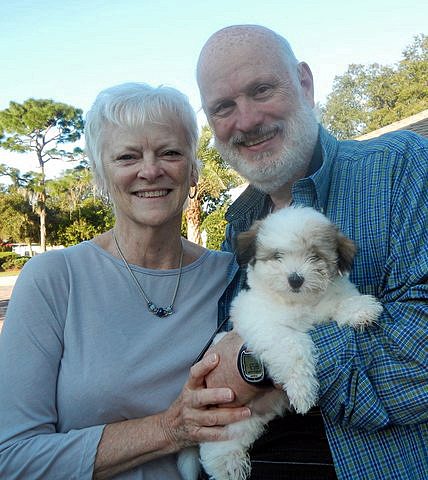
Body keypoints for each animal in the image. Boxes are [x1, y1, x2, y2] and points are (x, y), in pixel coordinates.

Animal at [179, 205, 382, 480]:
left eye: (314, 256)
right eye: (277, 256)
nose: (295, 279)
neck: (299, 304)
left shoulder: (329, 299)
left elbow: (340, 301)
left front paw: (361, 309)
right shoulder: (263, 322)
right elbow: (294, 344)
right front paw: (304, 391)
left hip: (245, 422)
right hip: (223, 420)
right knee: (215, 450)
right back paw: (229, 467)